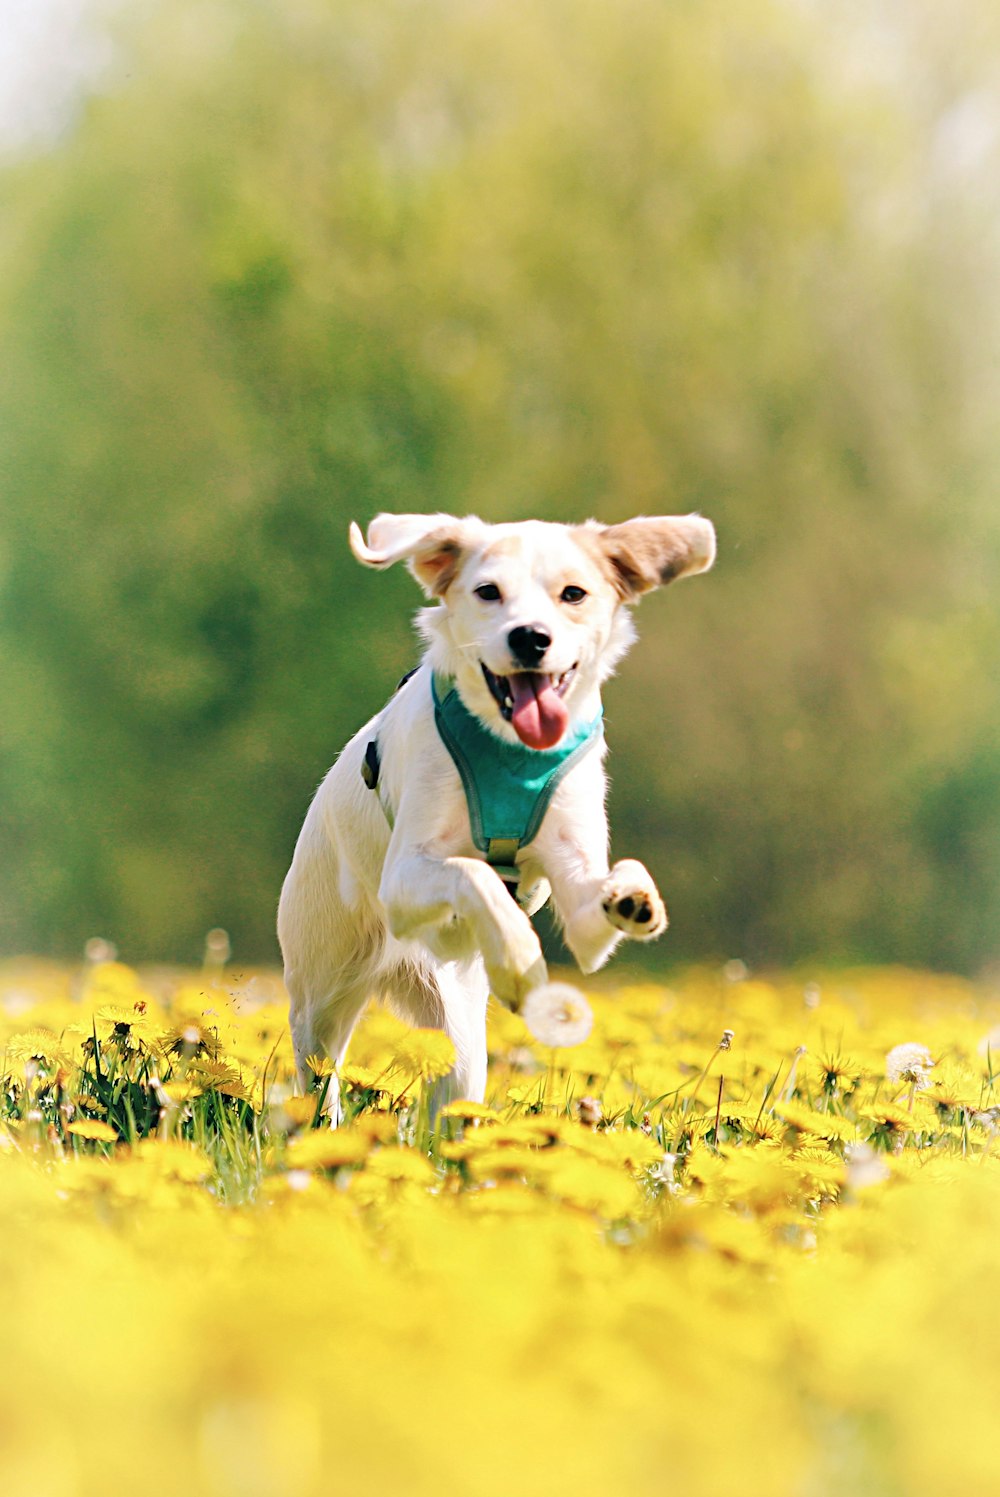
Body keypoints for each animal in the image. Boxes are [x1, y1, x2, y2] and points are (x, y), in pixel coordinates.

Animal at [276, 508, 715, 1119]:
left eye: (573, 593)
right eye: (488, 591)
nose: (530, 637)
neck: (510, 750)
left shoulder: (580, 897)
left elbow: (604, 895)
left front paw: (631, 896)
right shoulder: (403, 877)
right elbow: (473, 872)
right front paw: (518, 962)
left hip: (459, 1039)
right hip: (322, 991)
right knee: (319, 1071)